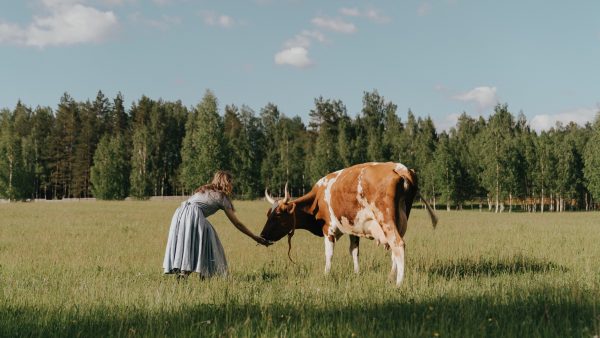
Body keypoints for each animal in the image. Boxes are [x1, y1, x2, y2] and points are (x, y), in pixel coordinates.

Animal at [258, 161, 436, 286]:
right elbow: (354, 252)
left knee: (398, 245)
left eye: (278, 215)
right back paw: (391, 277)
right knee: (394, 249)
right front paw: (357, 273)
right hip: (400, 221)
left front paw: (326, 274)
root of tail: (400, 168)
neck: (318, 196)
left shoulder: (328, 229)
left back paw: (398, 283)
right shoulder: (353, 230)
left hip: (386, 220)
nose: (262, 235)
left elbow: (329, 254)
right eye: (267, 214)